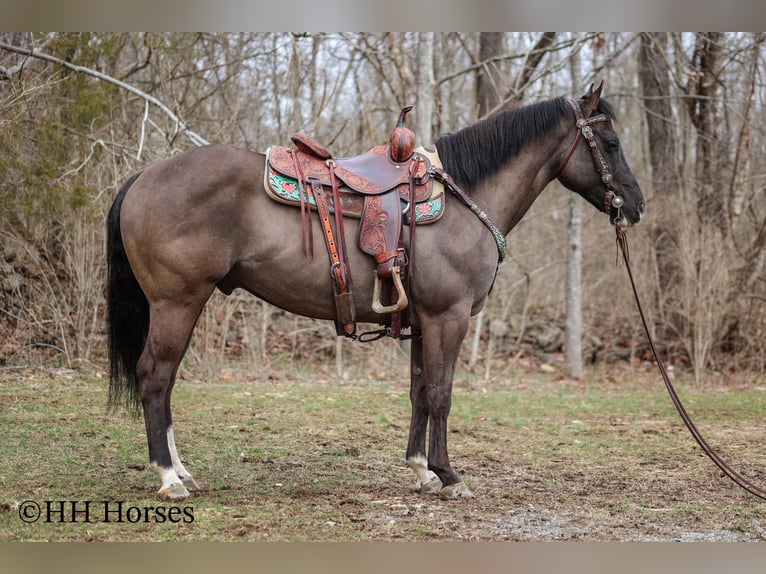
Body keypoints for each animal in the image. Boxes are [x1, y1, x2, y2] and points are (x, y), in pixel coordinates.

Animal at [108, 83, 644, 502]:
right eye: (612, 142)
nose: (636, 205)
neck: (466, 199)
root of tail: (144, 176)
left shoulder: (425, 323)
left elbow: (419, 392)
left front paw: (421, 470)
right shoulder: (449, 317)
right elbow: (442, 393)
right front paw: (449, 476)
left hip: (182, 306)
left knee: (165, 381)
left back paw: (181, 472)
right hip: (177, 303)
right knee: (154, 377)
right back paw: (168, 478)